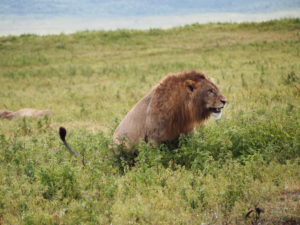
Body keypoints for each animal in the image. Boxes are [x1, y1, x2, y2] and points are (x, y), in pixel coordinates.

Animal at [59, 71, 226, 156]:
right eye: (210, 91)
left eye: (216, 88)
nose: (225, 101)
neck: (182, 109)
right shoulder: (154, 138)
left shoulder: (186, 133)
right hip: (122, 144)